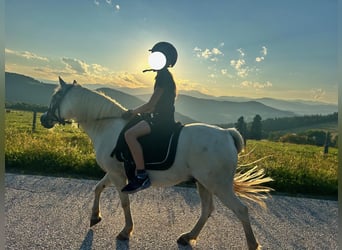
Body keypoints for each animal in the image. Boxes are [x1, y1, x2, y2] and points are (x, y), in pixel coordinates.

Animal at [40, 77, 272, 249]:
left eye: (55, 97)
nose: (43, 119)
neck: (106, 125)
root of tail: (227, 134)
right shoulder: (114, 172)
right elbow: (98, 188)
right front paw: (95, 217)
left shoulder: (118, 175)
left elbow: (124, 201)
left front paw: (125, 231)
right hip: (203, 183)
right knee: (207, 209)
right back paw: (188, 237)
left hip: (218, 185)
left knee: (241, 210)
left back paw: (252, 245)